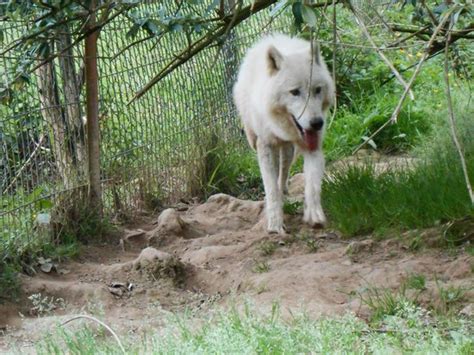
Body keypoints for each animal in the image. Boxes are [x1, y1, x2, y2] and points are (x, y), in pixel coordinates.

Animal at [232, 32, 334, 234]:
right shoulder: (264, 146)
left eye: (317, 90)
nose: (317, 123)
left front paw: (314, 215)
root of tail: (268, 39)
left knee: (284, 171)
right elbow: (270, 188)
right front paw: (274, 224)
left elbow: (312, 185)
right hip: (255, 140)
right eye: (294, 92)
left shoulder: (312, 146)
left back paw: (284, 190)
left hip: (288, 150)